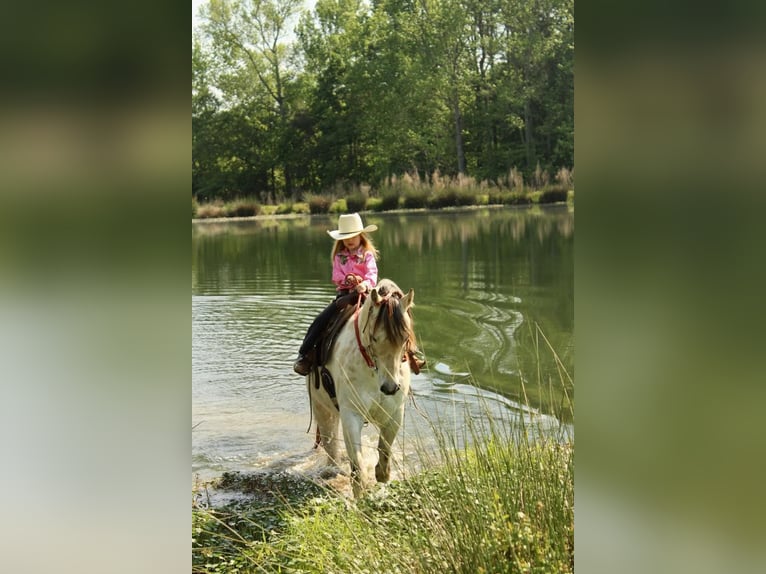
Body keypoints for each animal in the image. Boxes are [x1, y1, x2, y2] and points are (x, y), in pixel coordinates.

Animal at [308, 280, 416, 500]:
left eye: (404, 339)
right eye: (374, 338)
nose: (390, 387)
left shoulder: (394, 414)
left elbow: (384, 457)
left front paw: (382, 481)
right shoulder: (352, 415)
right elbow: (358, 468)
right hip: (323, 410)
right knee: (331, 449)